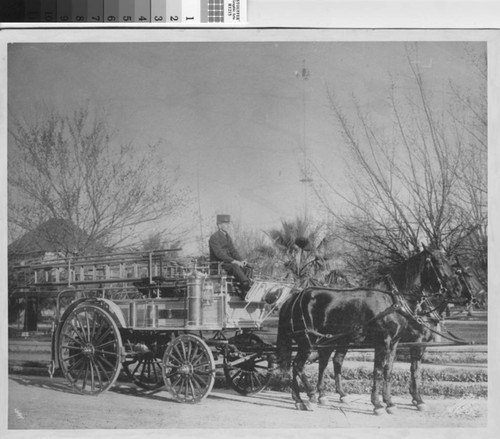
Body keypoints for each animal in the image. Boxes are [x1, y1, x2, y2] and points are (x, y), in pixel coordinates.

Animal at [276, 249, 462, 414]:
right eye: (438, 262)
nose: (456, 289)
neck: (391, 299)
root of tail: (294, 298)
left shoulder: (394, 343)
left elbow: (388, 371)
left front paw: (389, 403)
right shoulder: (383, 342)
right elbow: (378, 371)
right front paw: (378, 404)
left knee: (306, 365)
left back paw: (300, 399)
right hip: (307, 342)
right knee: (298, 365)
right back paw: (310, 396)